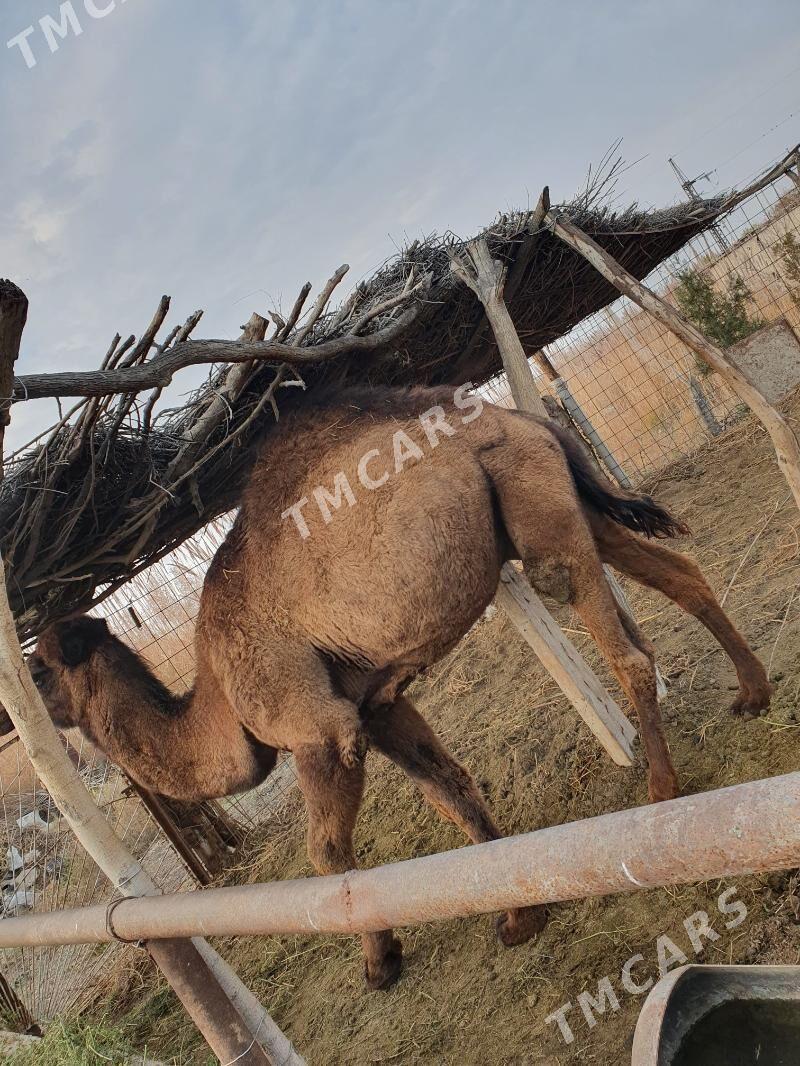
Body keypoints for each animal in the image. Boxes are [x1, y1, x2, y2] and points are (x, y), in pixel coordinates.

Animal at [28, 385, 772, 989]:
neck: (218, 693)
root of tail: (519, 416)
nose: (38, 722)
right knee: (679, 573)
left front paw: (380, 962)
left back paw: (660, 794)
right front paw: (519, 913)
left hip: (535, 506)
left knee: (620, 644)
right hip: (563, 501)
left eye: (37, 669)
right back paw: (752, 694)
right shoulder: (377, 705)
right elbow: (449, 788)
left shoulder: (319, 728)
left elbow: (327, 853)